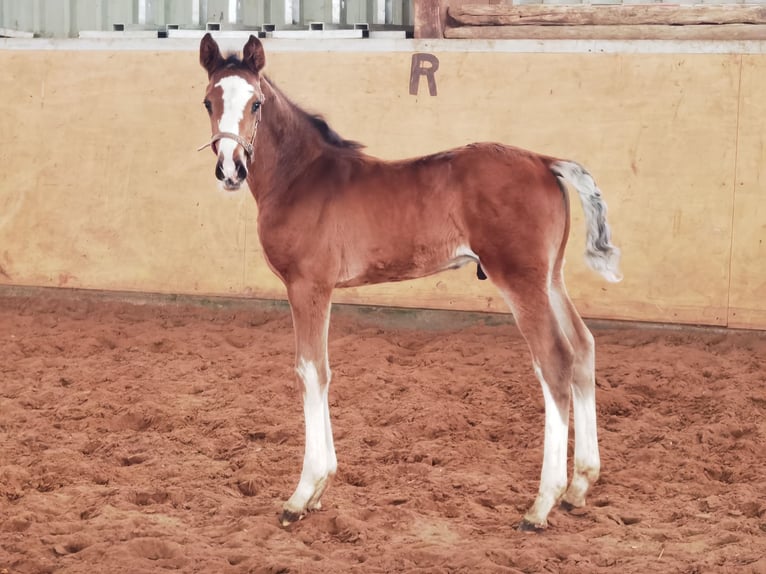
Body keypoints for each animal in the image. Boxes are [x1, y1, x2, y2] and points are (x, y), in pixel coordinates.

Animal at [197, 33, 622, 531]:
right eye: (209, 102)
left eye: (257, 103)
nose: (230, 169)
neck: (300, 177)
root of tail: (544, 161)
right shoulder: (318, 290)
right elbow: (321, 371)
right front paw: (320, 490)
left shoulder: (307, 286)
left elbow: (312, 371)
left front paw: (303, 494)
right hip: (551, 278)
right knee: (583, 347)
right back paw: (579, 487)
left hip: (521, 280)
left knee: (554, 361)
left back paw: (541, 505)